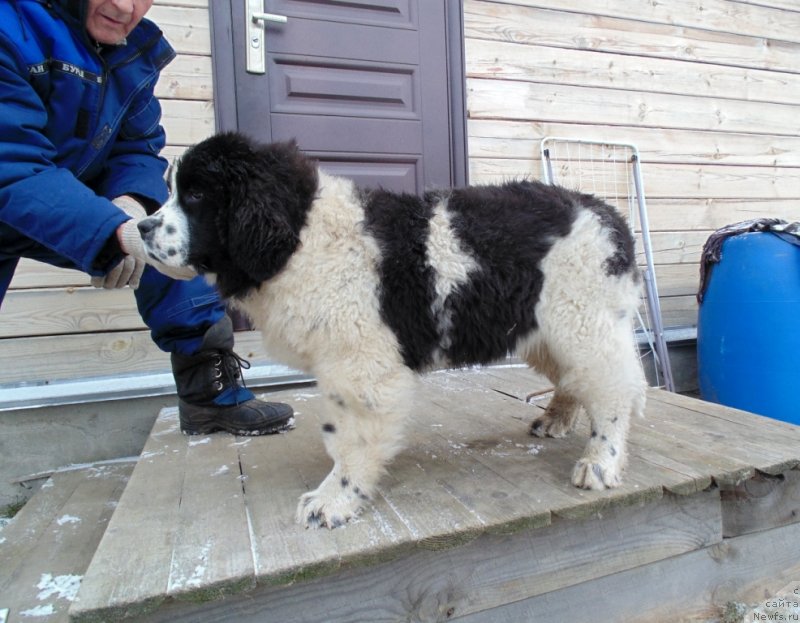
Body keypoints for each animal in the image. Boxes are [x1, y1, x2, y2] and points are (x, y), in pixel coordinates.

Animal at [141, 134, 648, 528]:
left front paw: (334, 499)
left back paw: (600, 461)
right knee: (577, 379)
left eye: (197, 196)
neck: (299, 234)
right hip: (543, 327)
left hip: (581, 319)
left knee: (614, 388)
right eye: (170, 190)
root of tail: (607, 213)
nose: (143, 227)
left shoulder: (359, 363)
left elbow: (350, 439)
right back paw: (558, 418)